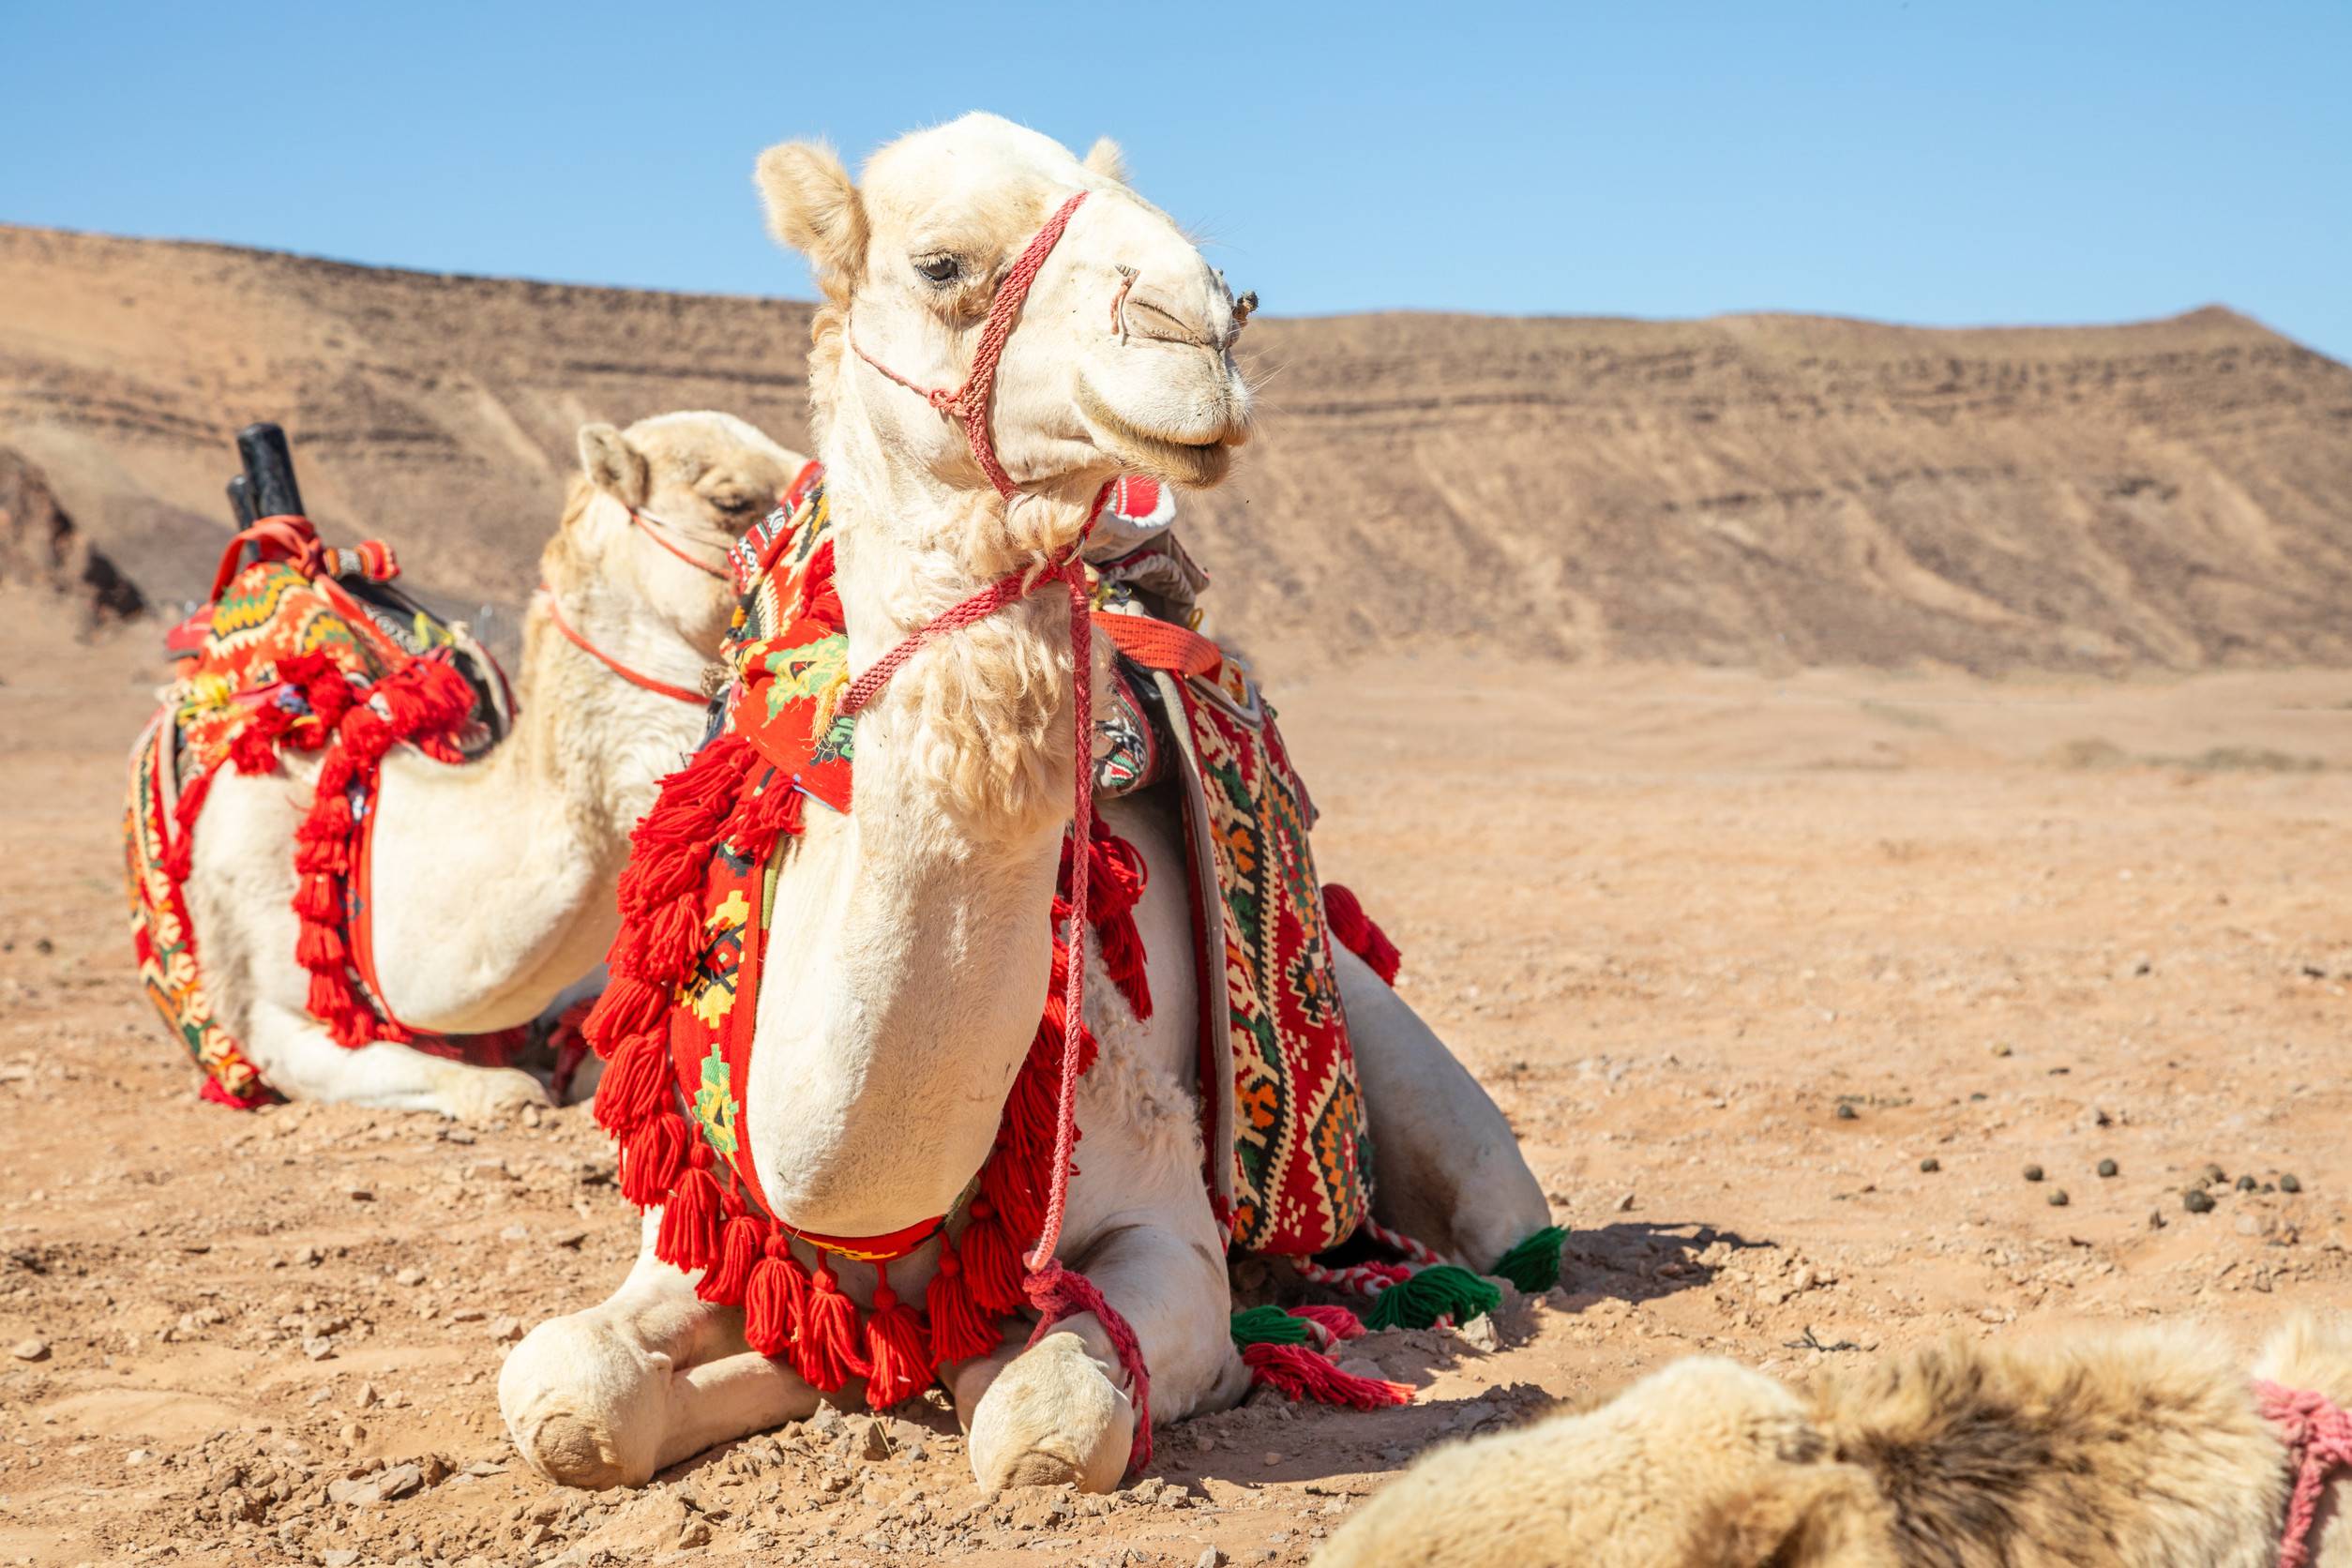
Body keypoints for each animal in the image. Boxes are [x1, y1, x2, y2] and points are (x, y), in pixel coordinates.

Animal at [499, 115, 1553, 1494]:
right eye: (943, 263)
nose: (1202, 325)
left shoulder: (1162, 1223)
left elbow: (1045, 1415)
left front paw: (972, 1366)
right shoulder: (701, 1227)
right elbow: (566, 1389)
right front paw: (787, 1373)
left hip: (1436, 1111)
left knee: (1500, 1216)